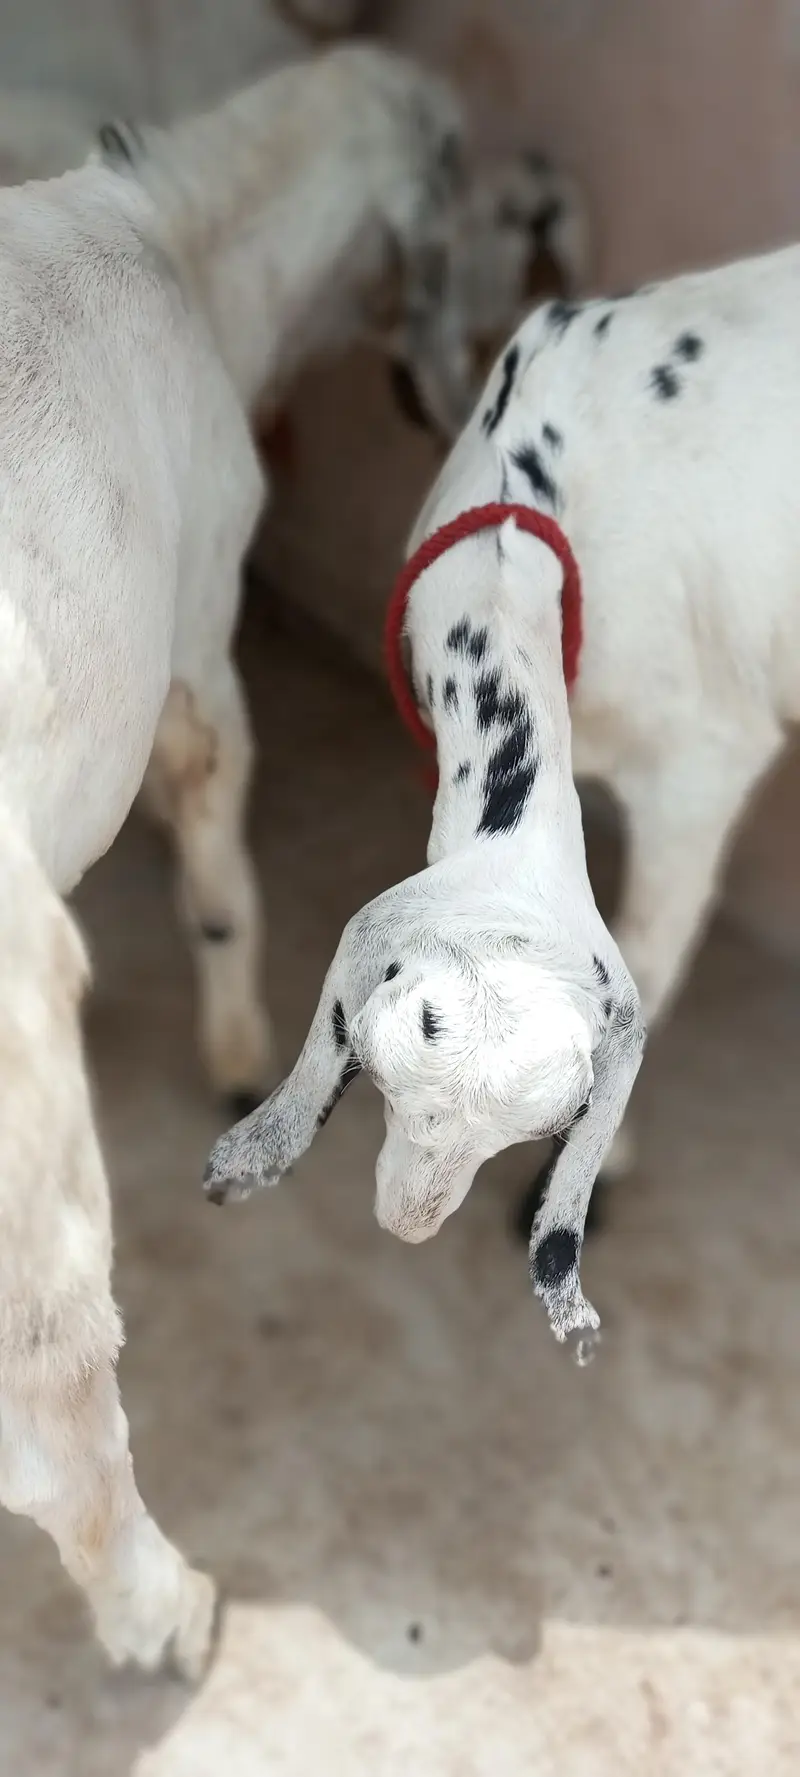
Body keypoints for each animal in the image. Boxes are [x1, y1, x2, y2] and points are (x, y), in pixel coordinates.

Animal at [0, 39, 530, 1675]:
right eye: (494, 200)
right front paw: (241, 1047)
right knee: (60, 1408)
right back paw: (164, 1607)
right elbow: (223, 870)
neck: (182, 233)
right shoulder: (201, 649)